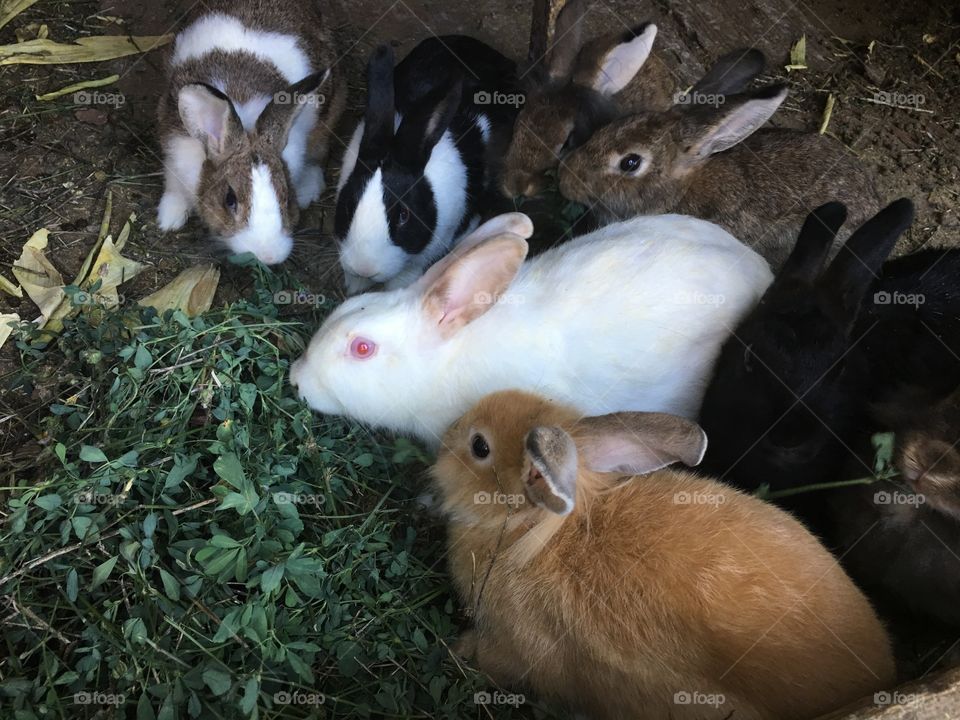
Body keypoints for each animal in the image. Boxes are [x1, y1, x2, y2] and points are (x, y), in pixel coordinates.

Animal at [159, 0, 346, 264]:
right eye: (230, 200)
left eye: (286, 198)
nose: (268, 256)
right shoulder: (173, 146)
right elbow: (173, 185)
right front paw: (169, 219)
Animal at [436, 390, 892, 720]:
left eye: (479, 447)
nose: (447, 434)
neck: (529, 529)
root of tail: (875, 677)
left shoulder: (514, 648)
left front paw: (459, 650)